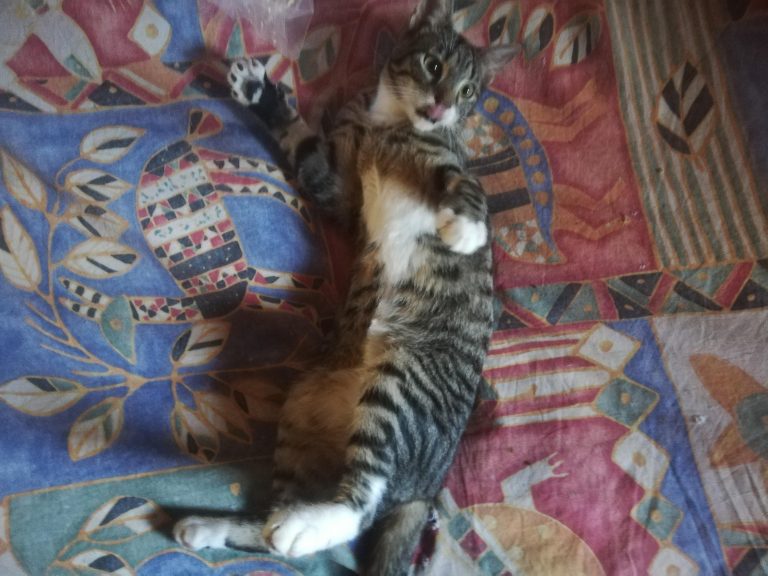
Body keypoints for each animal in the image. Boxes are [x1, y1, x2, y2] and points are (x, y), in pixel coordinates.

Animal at [173, 1, 518, 574]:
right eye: (433, 65)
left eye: (470, 91)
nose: (443, 106)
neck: (389, 124)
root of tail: (427, 487)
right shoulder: (337, 187)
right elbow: (303, 143)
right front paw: (262, 93)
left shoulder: (443, 159)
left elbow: (467, 185)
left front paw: (466, 230)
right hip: (301, 407)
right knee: (282, 518)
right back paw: (224, 526)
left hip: (402, 381)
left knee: (362, 503)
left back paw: (300, 527)